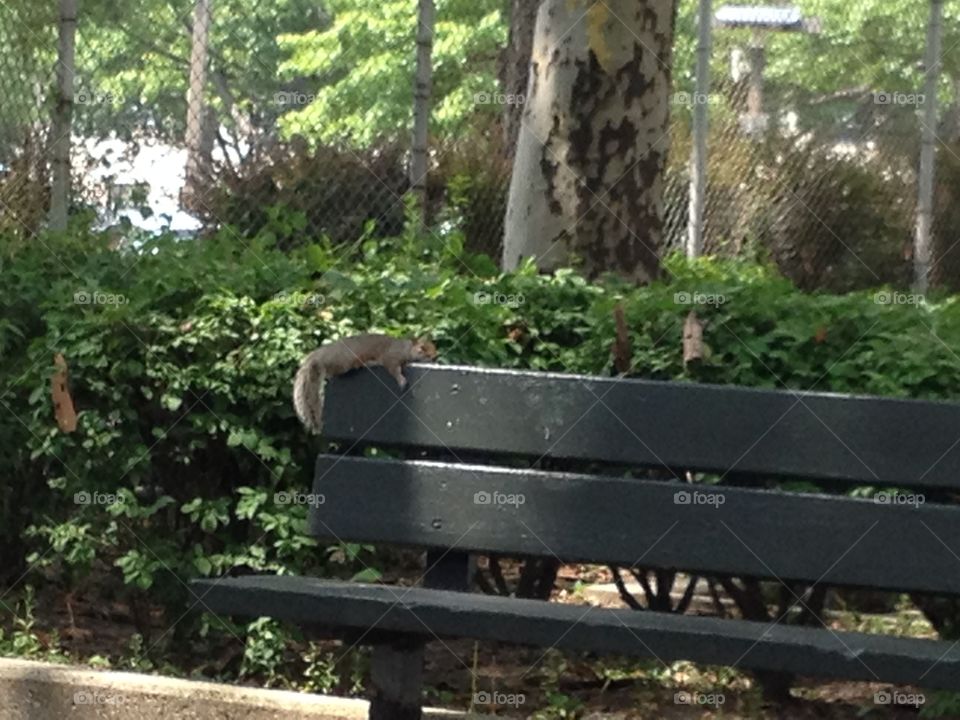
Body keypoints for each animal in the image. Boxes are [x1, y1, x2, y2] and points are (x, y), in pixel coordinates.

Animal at [292, 333, 438, 435]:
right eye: (421, 348)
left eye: (434, 348)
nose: (434, 357)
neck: (406, 348)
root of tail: (321, 353)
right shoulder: (391, 357)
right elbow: (393, 369)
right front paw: (401, 379)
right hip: (343, 362)